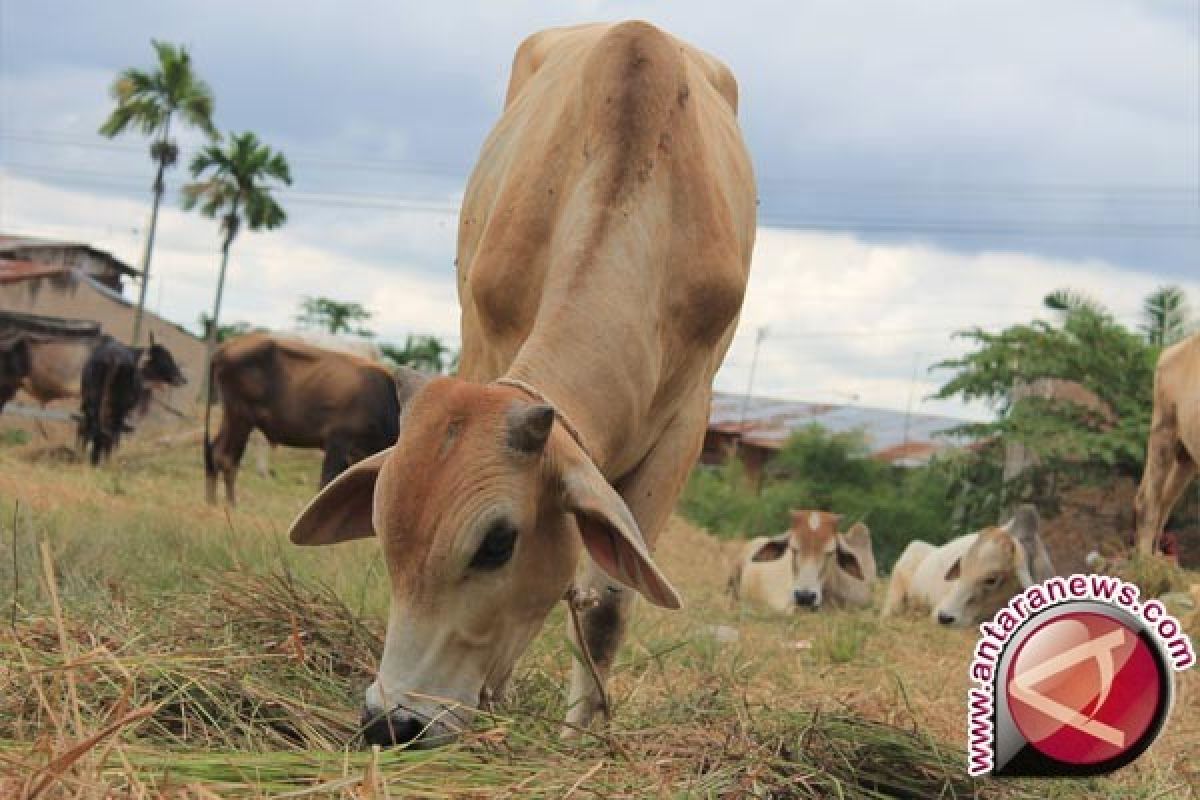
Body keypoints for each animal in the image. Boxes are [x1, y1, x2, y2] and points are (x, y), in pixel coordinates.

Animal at [202, 333, 398, 506]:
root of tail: (226, 347)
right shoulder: (338, 442)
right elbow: (327, 483)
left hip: (233, 417)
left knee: (216, 452)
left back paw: (213, 502)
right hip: (240, 417)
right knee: (227, 457)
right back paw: (230, 504)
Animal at [286, 20, 753, 753]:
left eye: (497, 543)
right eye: (383, 528)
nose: (392, 721)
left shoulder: (687, 422)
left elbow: (607, 606)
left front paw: (582, 739)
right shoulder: (484, 341)